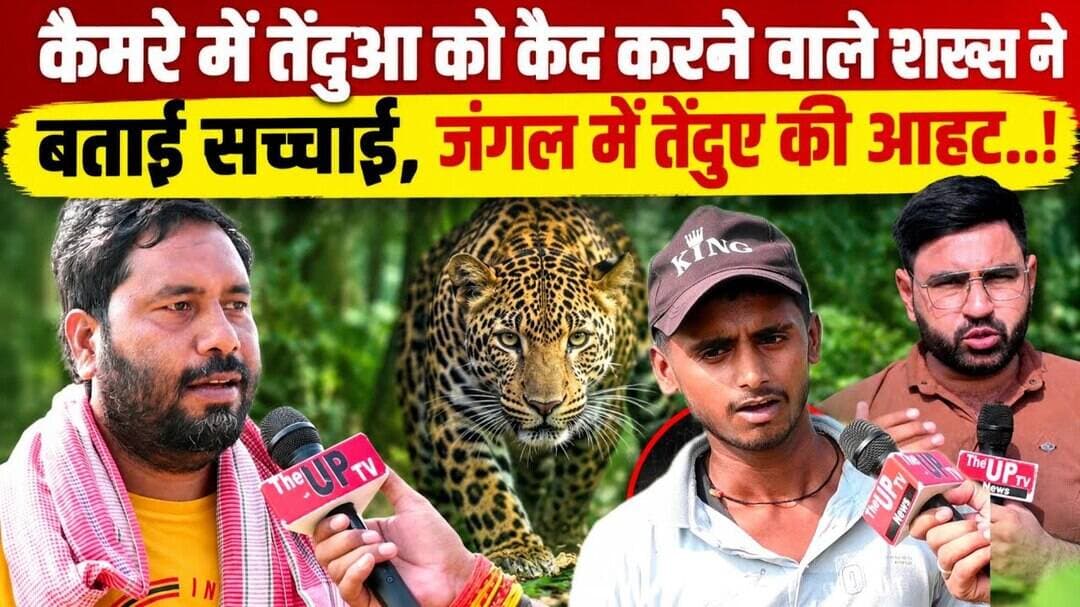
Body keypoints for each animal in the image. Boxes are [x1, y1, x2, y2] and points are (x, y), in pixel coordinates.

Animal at [394, 198, 647, 578]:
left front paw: (561, 536)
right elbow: (484, 488)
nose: (545, 405)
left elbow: (575, 484)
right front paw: (516, 548)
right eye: (509, 340)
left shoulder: (604, 409)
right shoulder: (457, 415)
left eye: (578, 339)